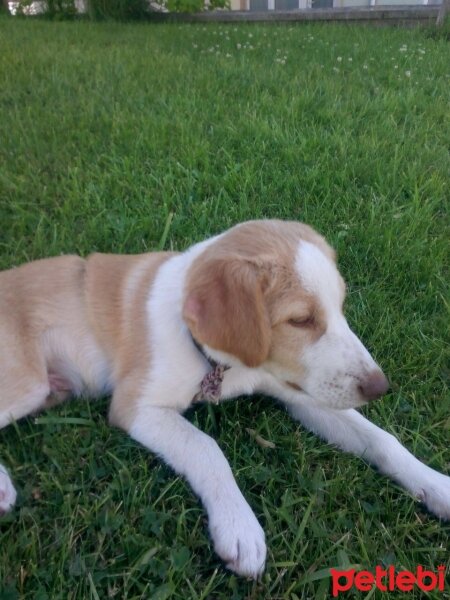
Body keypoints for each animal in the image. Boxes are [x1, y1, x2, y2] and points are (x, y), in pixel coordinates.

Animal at [0, 220, 450, 576]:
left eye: (340, 306)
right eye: (301, 320)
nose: (379, 387)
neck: (222, 363)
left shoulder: (300, 391)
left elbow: (381, 438)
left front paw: (436, 485)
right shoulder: (136, 406)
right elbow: (206, 447)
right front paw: (239, 527)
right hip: (27, 380)